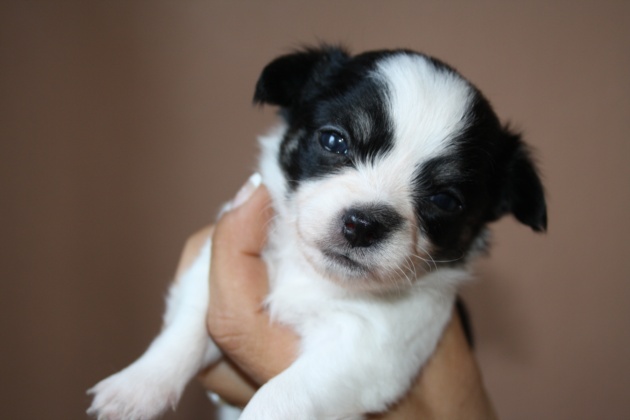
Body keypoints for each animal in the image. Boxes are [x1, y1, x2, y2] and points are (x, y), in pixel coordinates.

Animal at [87, 46, 548, 420]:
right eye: (333, 141)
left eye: (446, 201)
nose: (364, 224)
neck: (315, 276)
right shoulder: (206, 270)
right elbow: (187, 323)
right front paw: (138, 386)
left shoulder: (370, 350)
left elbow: (281, 397)